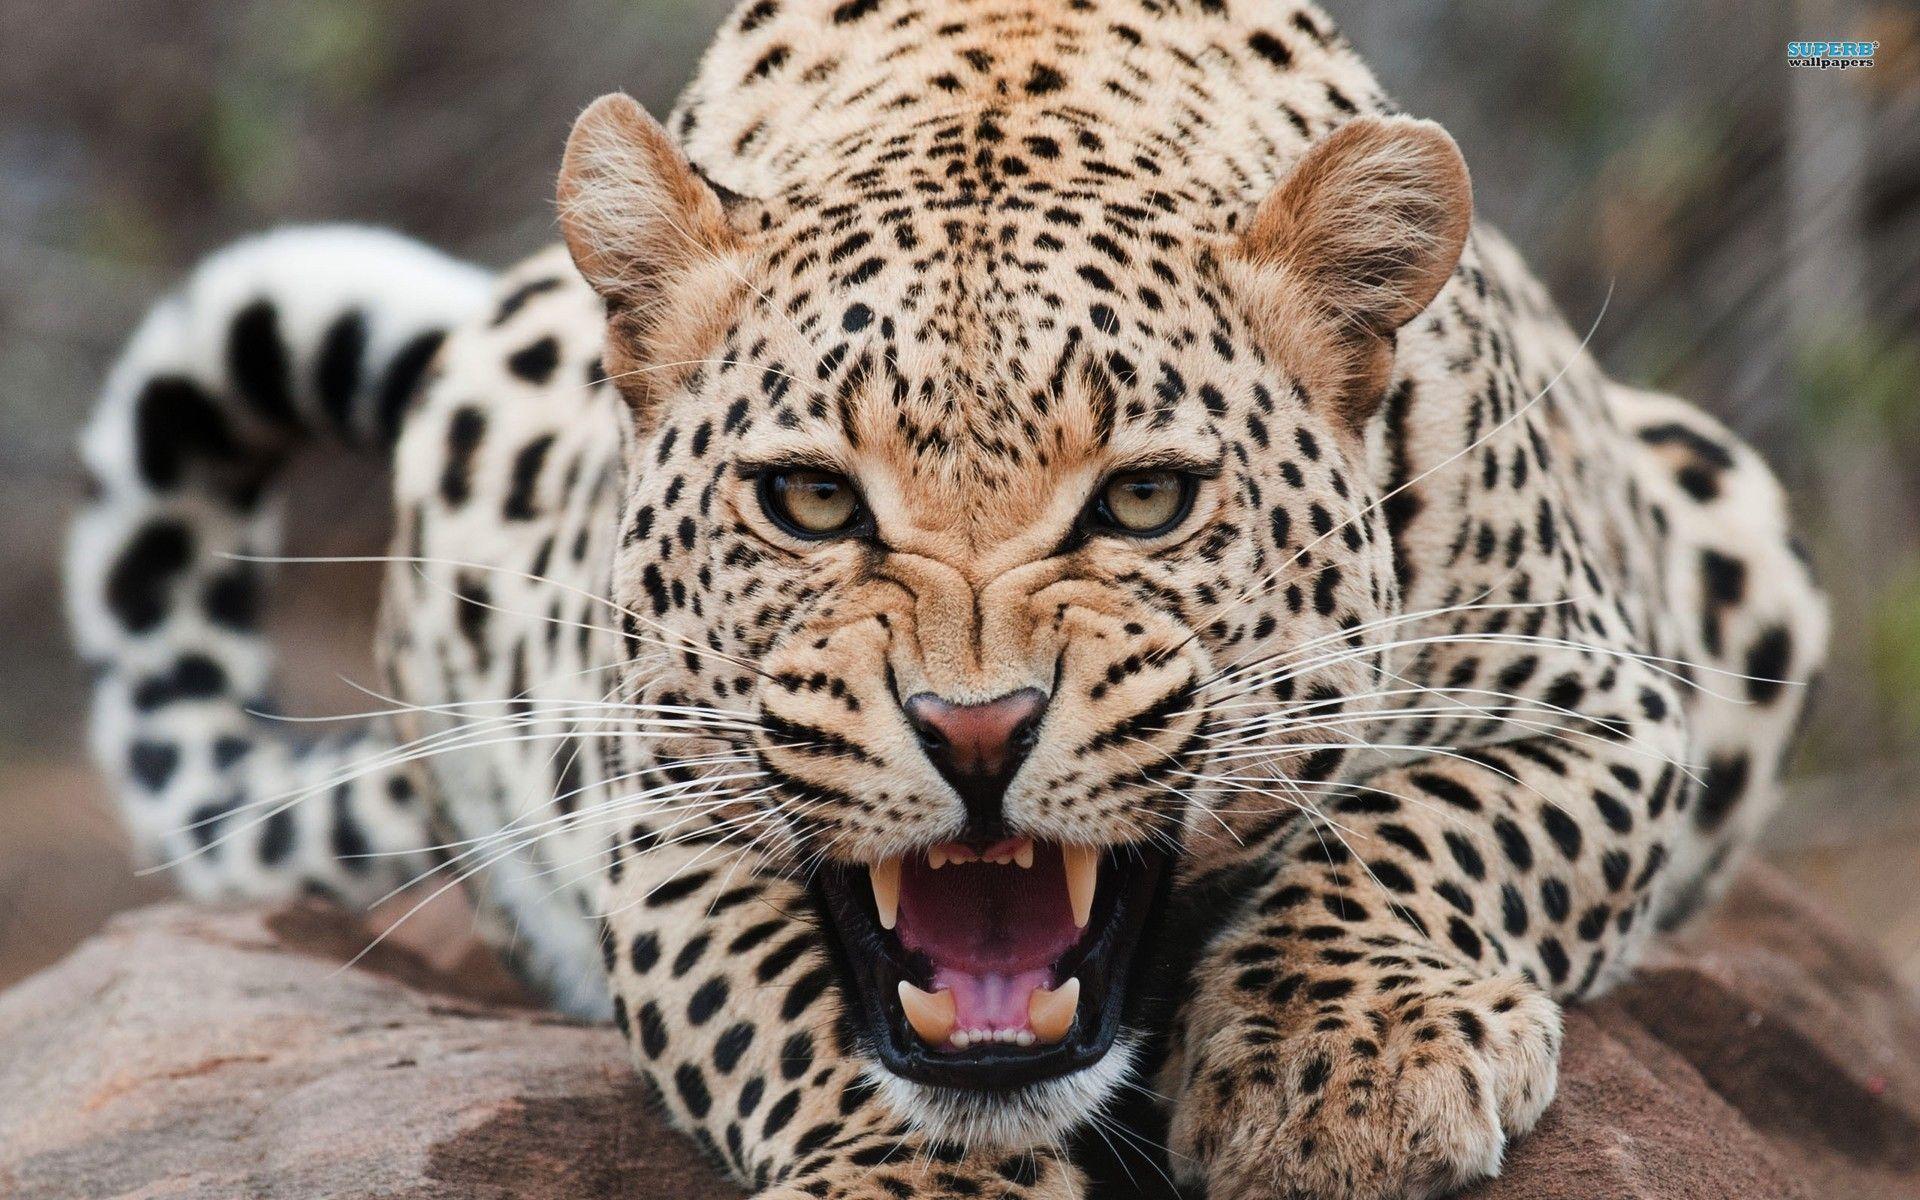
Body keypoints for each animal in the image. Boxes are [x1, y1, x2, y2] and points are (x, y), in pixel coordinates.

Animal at [66, 1, 1830, 1197]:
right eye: (809, 501)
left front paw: (1341, 1072)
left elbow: (1428, 827)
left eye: (1144, 500)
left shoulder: (1604, 702)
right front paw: (915, 1178)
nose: (976, 733)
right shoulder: (656, 805)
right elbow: (778, 999)